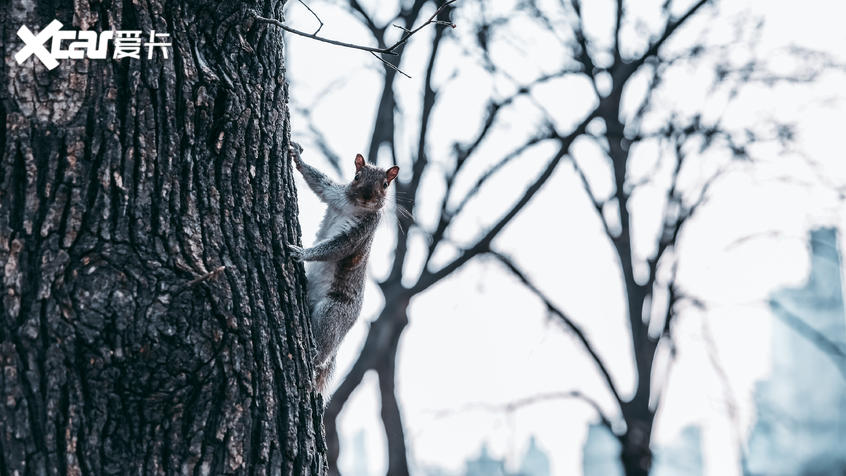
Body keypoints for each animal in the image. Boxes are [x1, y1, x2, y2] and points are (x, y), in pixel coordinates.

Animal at [288, 142, 400, 394]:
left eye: (385, 185)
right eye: (357, 176)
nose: (367, 196)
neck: (356, 208)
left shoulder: (360, 233)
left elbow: (337, 248)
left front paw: (302, 253)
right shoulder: (336, 195)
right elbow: (319, 183)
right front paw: (298, 157)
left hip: (333, 312)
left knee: (324, 347)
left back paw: (315, 358)